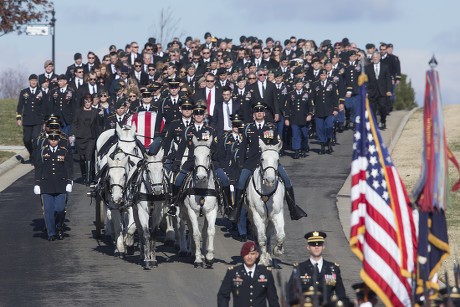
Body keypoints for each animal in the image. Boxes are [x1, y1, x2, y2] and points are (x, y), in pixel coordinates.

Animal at [181, 138, 218, 270]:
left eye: (208, 155)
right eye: (194, 156)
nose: (201, 176)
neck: (202, 189)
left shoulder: (212, 211)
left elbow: (210, 231)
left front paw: (209, 257)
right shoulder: (191, 212)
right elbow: (196, 234)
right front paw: (197, 259)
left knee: (204, 231)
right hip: (184, 212)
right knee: (189, 229)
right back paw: (191, 251)